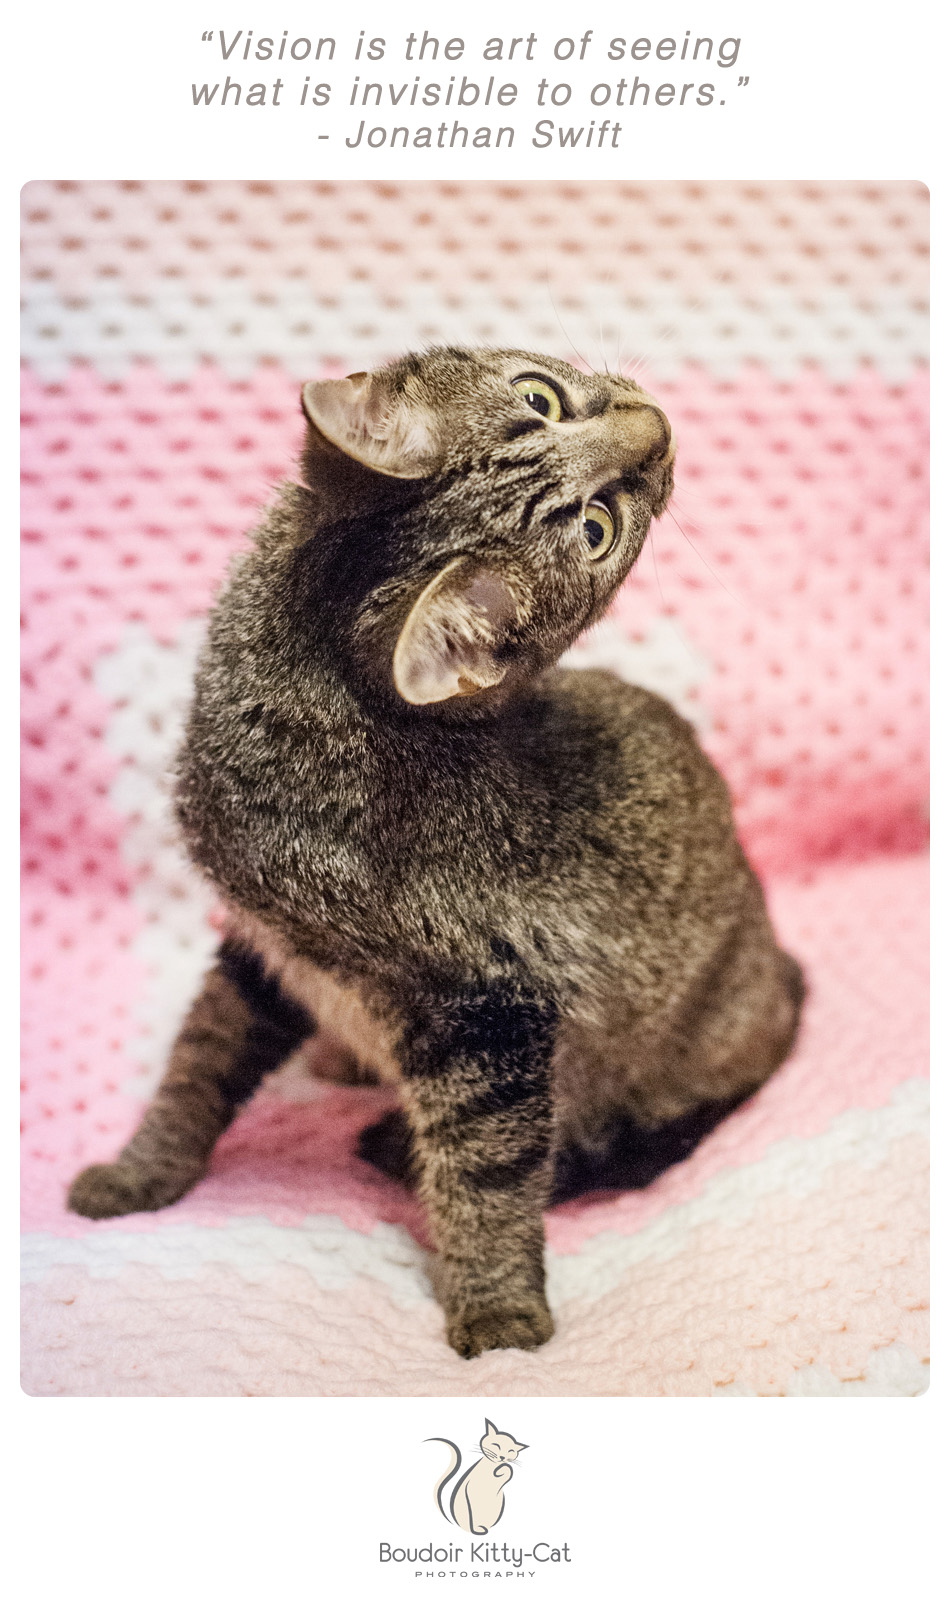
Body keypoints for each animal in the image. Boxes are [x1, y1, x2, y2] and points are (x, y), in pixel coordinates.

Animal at [70, 349, 807, 1360]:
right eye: (597, 527)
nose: (657, 426)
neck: (314, 694)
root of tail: (777, 974)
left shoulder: (491, 1010)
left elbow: (487, 1178)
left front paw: (497, 1315)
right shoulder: (275, 949)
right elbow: (198, 1064)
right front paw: (141, 1171)